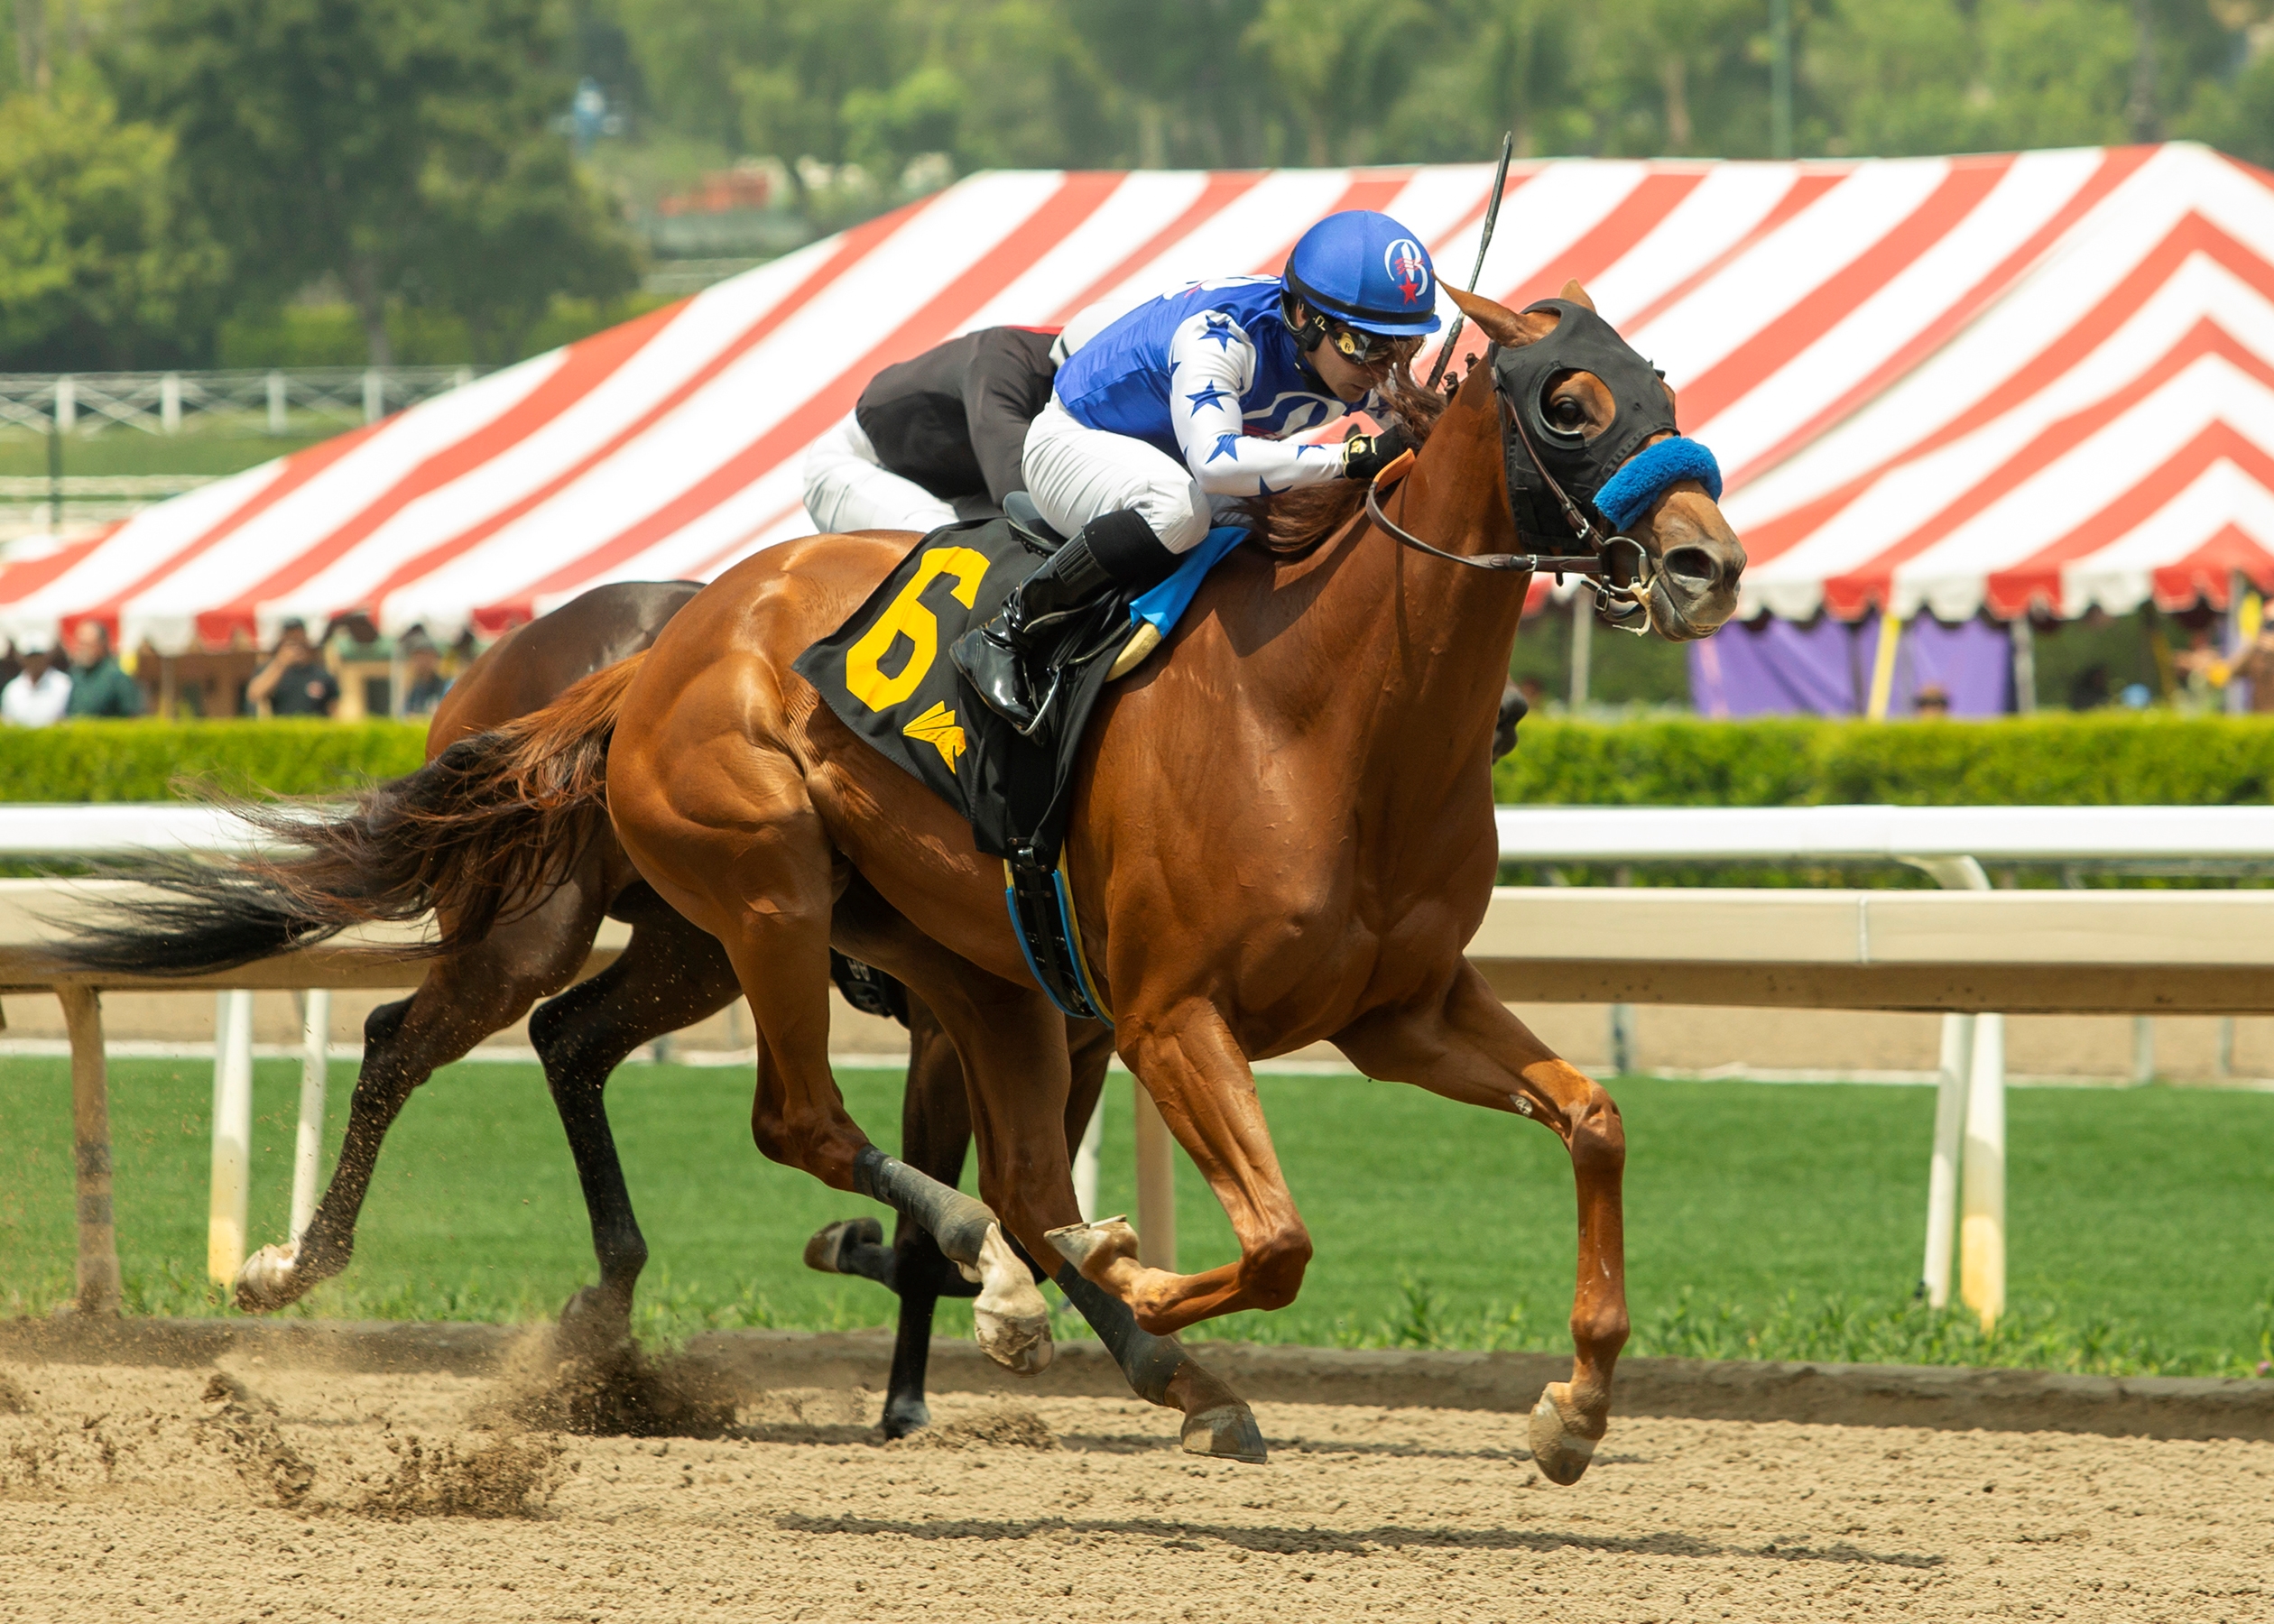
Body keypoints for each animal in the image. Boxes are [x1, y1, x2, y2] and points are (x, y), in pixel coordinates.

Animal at [576, 279, 1743, 1482]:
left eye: (1661, 389)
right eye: (1567, 403)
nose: (1708, 567)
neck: (1324, 713)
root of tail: (678, 633)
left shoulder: (1401, 1009)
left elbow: (1594, 1119)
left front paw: (1578, 1405)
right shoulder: (1170, 1017)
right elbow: (1276, 1244)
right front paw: (1100, 1271)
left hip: (964, 962)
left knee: (1022, 1180)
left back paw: (1145, 1357)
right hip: (767, 892)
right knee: (804, 1123)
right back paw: (999, 1276)